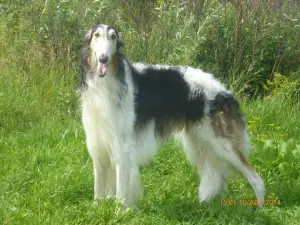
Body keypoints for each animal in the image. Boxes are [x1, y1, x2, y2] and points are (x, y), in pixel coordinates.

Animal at [78, 24, 264, 207]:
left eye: (113, 37)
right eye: (96, 35)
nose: (103, 59)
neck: (106, 83)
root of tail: (225, 92)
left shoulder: (122, 146)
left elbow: (121, 192)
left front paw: (120, 211)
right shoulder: (98, 142)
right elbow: (98, 187)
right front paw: (97, 208)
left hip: (222, 143)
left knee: (256, 178)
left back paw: (259, 209)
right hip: (200, 142)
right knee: (217, 177)